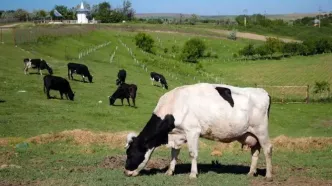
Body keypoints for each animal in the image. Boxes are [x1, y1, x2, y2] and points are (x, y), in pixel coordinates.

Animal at [124, 83, 272, 181]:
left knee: (268, 149)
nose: (125, 172)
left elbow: (192, 154)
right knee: (255, 152)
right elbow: (174, 153)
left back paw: (268, 176)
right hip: (251, 134)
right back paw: (251, 173)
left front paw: (193, 174)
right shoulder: (177, 134)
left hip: (261, 130)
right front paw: (170, 171)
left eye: (130, 154)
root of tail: (263, 91)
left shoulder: (193, 131)